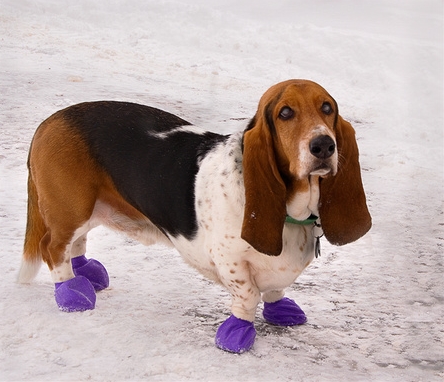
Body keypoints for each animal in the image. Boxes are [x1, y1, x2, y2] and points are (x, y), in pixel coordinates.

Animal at [18, 79, 372, 354]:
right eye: (285, 112)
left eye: (327, 108)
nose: (324, 145)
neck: (291, 212)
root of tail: (49, 121)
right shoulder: (230, 260)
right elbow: (248, 296)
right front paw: (237, 332)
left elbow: (274, 289)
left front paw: (280, 308)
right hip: (71, 208)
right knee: (53, 248)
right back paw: (71, 292)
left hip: (85, 209)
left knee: (76, 243)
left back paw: (86, 274)